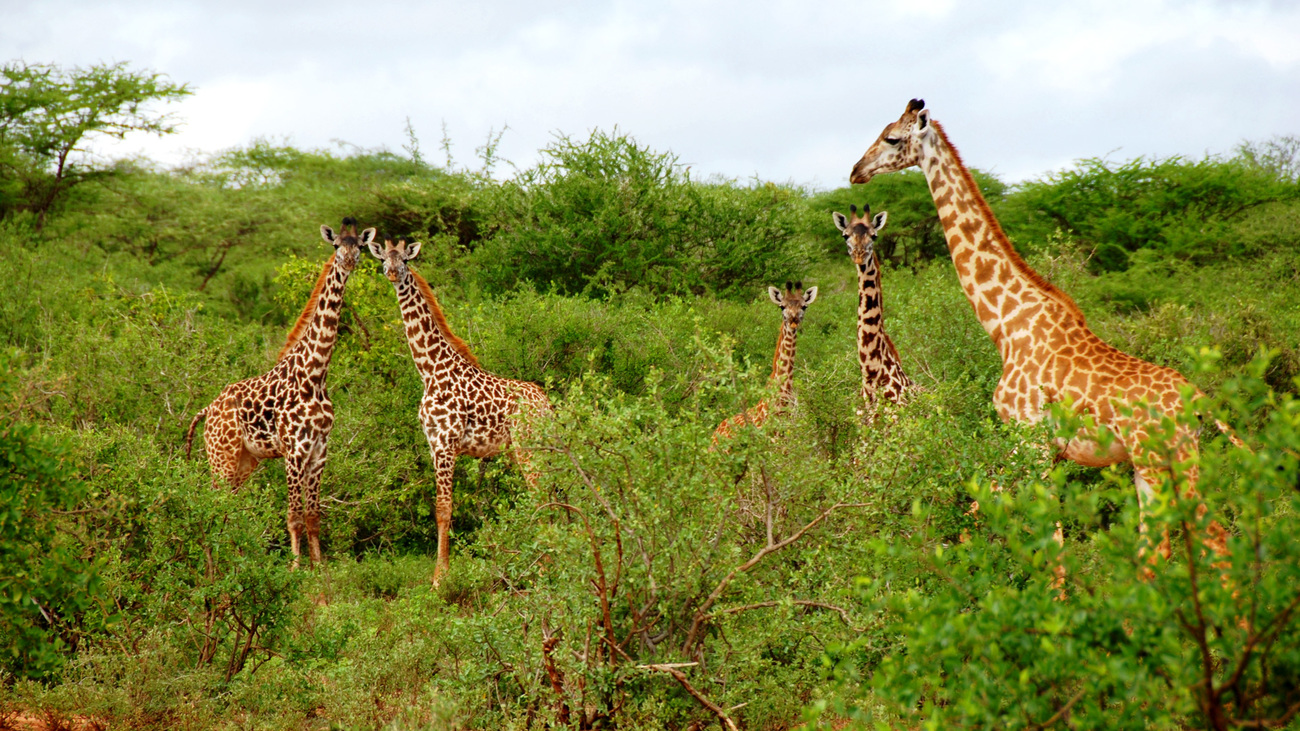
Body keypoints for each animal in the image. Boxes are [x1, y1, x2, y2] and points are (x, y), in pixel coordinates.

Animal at [185, 214, 377, 564]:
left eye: (359, 246)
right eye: (336, 245)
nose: (348, 261)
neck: (315, 374)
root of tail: (207, 409)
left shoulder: (319, 451)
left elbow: (314, 516)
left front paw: (320, 572)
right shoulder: (294, 450)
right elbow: (294, 515)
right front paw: (295, 570)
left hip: (246, 460)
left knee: (231, 505)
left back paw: (236, 557)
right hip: (221, 456)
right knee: (212, 501)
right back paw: (215, 562)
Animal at [369, 236, 551, 582]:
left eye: (405, 260)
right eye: (383, 258)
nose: (392, 273)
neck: (429, 370)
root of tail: (547, 405)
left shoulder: (446, 443)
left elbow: (444, 509)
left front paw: (439, 579)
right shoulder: (432, 444)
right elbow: (441, 507)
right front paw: (441, 574)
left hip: (527, 446)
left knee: (541, 495)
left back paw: (544, 563)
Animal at [847, 100, 1232, 556]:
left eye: (892, 138)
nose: (856, 171)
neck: (1005, 323)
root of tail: (1202, 403)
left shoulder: (1028, 437)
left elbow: (1046, 537)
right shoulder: (1037, 447)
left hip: (1165, 459)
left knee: (1216, 538)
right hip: (1152, 466)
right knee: (1158, 544)